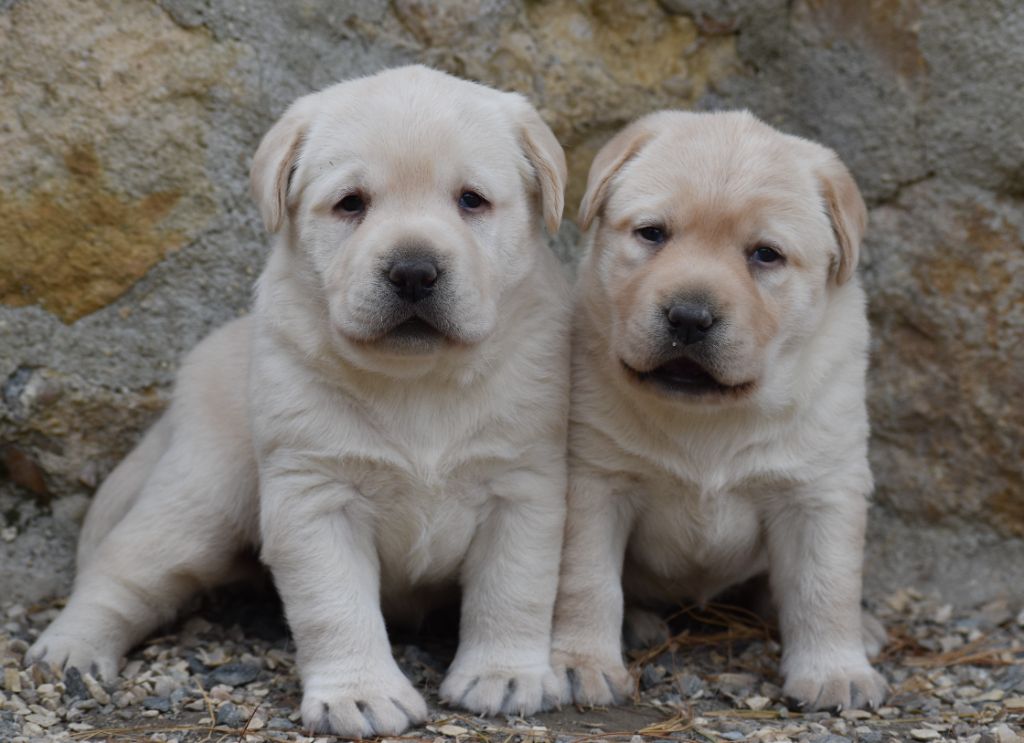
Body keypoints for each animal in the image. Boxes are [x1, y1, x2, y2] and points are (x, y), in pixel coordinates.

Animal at [27, 65, 572, 737]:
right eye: (351, 203)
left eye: (472, 200)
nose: (414, 271)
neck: (419, 381)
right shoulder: (314, 495)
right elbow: (335, 606)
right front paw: (359, 694)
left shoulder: (524, 488)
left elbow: (513, 589)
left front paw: (503, 675)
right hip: (198, 499)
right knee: (120, 572)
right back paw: (69, 649)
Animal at [550, 110, 888, 712]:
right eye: (653, 233)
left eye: (765, 254)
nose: (688, 316)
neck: (709, 419)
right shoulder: (596, 480)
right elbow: (587, 578)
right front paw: (580, 663)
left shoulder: (821, 489)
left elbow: (825, 585)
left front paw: (835, 671)